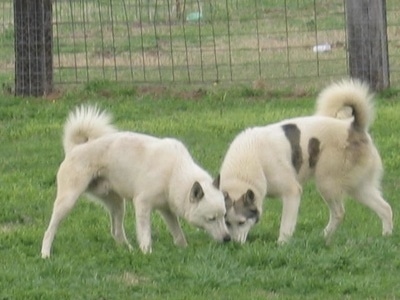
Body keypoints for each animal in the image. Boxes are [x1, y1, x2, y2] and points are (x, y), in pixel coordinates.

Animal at [41, 105, 230, 258]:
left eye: (224, 216)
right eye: (211, 219)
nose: (228, 238)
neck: (174, 172)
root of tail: (75, 148)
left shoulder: (167, 210)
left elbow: (178, 233)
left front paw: (183, 248)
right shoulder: (142, 204)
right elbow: (145, 233)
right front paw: (147, 253)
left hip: (118, 205)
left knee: (116, 232)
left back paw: (129, 250)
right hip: (67, 202)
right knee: (49, 231)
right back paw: (45, 254)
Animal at [217, 79, 392, 244]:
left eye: (241, 222)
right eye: (227, 222)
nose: (234, 244)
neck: (250, 163)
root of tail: (353, 126)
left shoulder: (292, 192)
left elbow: (286, 225)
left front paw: (282, 244)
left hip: (326, 183)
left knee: (339, 213)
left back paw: (324, 237)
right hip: (358, 187)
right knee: (385, 208)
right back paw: (385, 236)